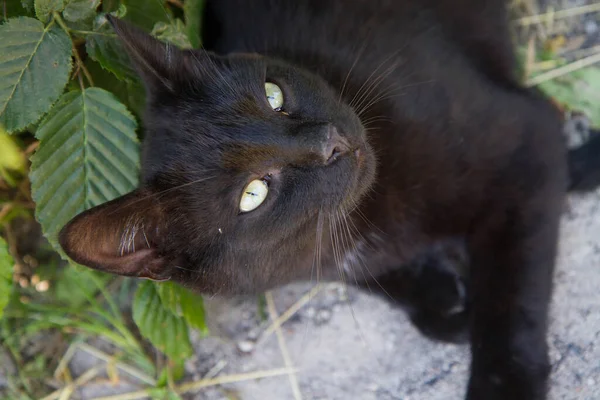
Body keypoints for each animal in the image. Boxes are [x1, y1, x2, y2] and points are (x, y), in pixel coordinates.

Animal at [58, 1, 600, 398]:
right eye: (253, 194)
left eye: (273, 93)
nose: (326, 143)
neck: (366, 218)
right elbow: (367, 274)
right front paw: (442, 301)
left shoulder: (524, 145)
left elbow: (508, 299)